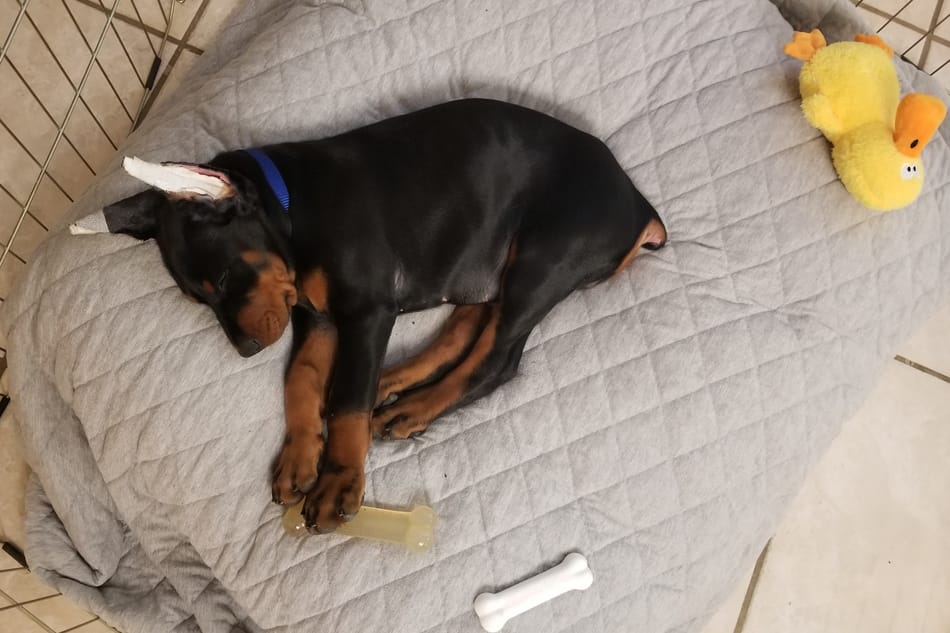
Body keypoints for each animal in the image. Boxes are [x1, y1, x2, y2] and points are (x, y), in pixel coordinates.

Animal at [72, 99, 668, 532]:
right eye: (199, 300)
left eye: (220, 281)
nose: (245, 350)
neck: (291, 205)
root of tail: (640, 207)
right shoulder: (317, 313)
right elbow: (302, 377)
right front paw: (299, 455)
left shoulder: (366, 309)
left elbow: (347, 402)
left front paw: (338, 481)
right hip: (489, 262)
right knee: (464, 334)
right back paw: (395, 386)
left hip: (545, 258)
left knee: (497, 359)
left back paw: (411, 407)